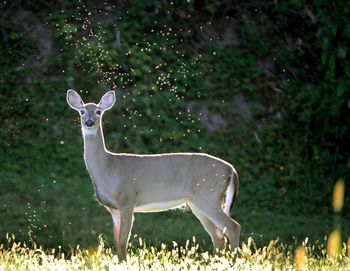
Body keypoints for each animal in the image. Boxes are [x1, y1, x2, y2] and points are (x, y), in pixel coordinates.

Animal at [66, 90, 241, 262]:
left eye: (98, 111)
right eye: (82, 111)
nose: (89, 122)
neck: (107, 167)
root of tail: (231, 169)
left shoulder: (127, 199)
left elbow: (123, 241)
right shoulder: (113, 208)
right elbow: (116, 242)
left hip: (208, 196)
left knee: (233, 227)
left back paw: (232, 261)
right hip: (198, 202)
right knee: (218, 235)